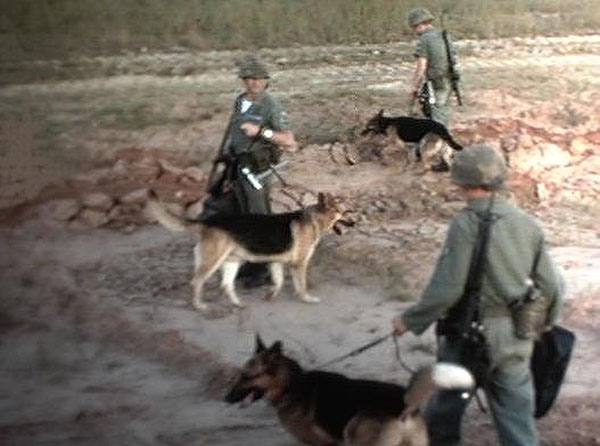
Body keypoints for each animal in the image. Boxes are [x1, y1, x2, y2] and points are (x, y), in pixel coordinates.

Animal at [146, 192, 352, 310]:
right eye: (344, 212)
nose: (354, 222)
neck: (314, 219)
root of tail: (207, 221)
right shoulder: (299, 265)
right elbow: (301, 285)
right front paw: (307, 298)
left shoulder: (275, 262)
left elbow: (278, 282)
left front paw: (270, 295)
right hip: (213, 261)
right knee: (196, 281)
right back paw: (199, 305)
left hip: (232, 262)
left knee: (226, 284)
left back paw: (238, 304)